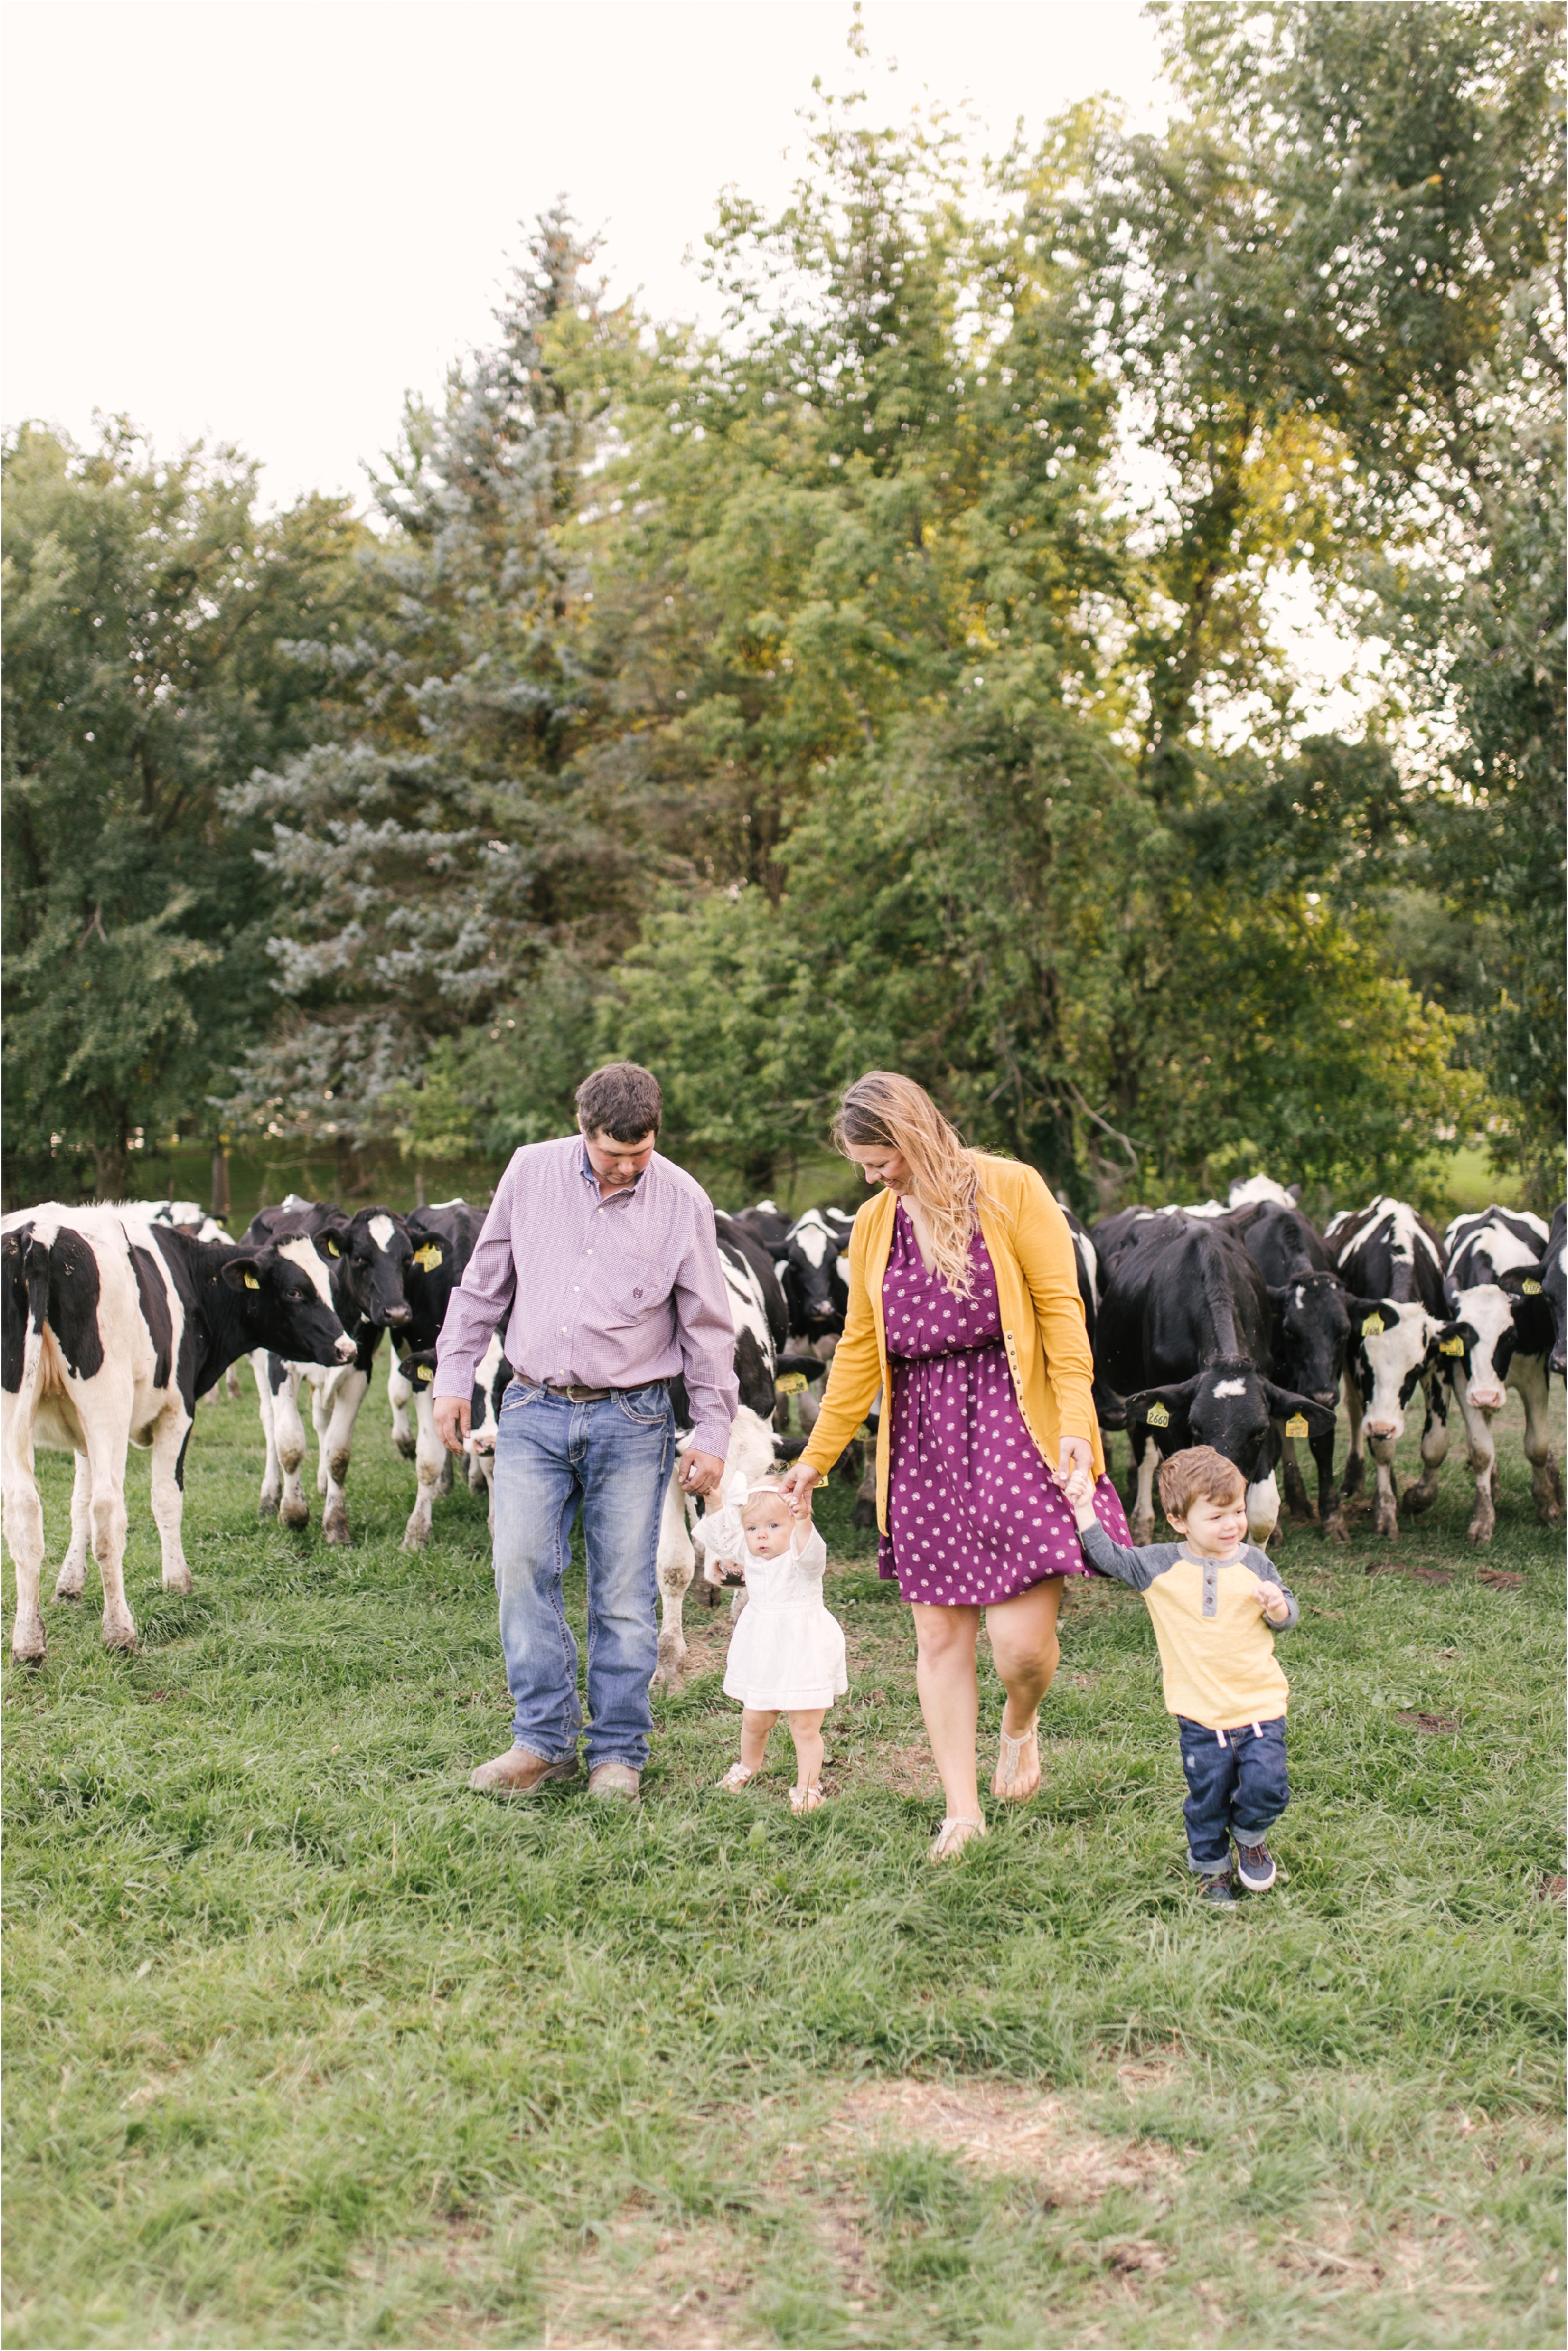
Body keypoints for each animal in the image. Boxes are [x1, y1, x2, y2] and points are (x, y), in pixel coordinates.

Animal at [2, 1213, 352, 1655]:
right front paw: (177, 1582)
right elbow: (165, 1499)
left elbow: (78, 1502)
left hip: (16, 1412)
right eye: (294, 1292)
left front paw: (69, 1585)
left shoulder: (82, 1432)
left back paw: (28, 1643)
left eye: (332, 1285)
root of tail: (38, 1233)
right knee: (108, 1510)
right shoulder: (178, 1411)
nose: (347, 1348)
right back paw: (119, 1632)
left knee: (24, 1511)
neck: (189, 1275)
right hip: (106, 1405)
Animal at [246, 1203, 413, 1551]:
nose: (396, 1313)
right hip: (258, 1363)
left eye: (407, 1259)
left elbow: (338, 1451)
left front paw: (336, 1525)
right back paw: (270, 1497)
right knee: (269, 1421)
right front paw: (293, 1513)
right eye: (360, 1257)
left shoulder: (359, 1370)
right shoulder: (280, 1366)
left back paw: (322, 1483)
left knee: (321, 1418)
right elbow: (290, 1444)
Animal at [1091, 1213, 1335, 1542]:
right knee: (1143, 1450)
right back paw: (1142, 1522)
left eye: (1258, 1431)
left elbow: (1262, 1512)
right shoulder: (1171, 1421)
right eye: (1196, 1426)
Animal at [1325, 1194, 1457, 1542]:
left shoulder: (1439, 1364)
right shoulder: (1356, 1367)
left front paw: (1418, 1498)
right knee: (1356, 1414)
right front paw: (1385, 1512)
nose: (1383, 1426)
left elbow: (1436, 1443)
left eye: (1415, 1368)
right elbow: (1381, 1447)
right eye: (1369, 1365)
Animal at [1438, 1213, 1560, 1542]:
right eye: (1463, 1338)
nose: (1486, 1395)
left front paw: (1548, 1507)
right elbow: (1481, 1450)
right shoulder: (1463, 1381)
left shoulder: (1536, 1376)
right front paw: (1482, 1519)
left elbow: (1537, 1445)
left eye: (1510, 1337)